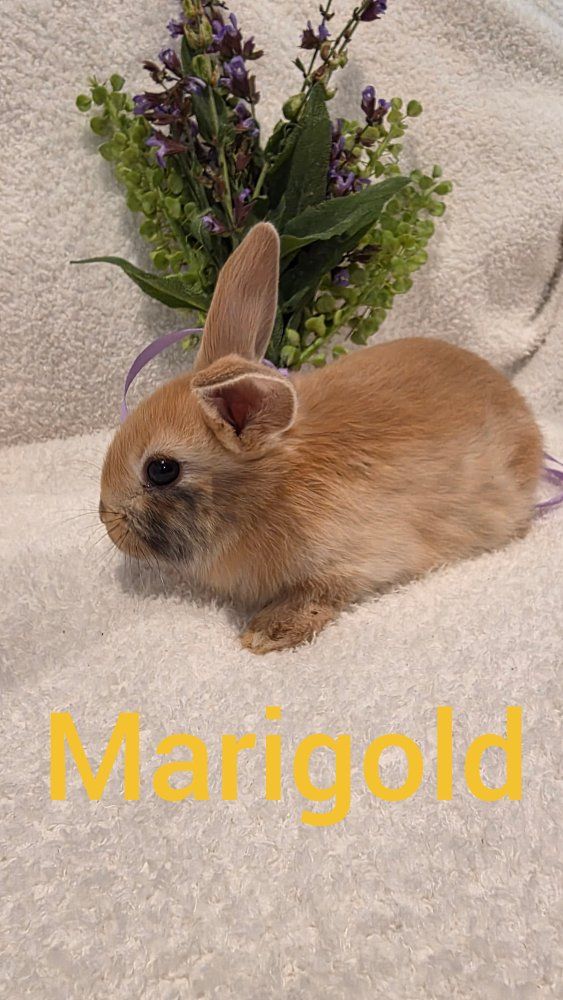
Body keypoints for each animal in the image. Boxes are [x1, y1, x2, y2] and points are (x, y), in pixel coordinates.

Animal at [100, 222, 543, 654]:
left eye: (161, 470)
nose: (108, 520)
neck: (269, 489)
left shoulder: (352, 559)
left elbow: (320, 594)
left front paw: (264, 634)